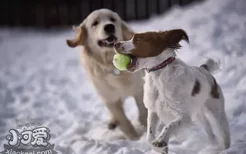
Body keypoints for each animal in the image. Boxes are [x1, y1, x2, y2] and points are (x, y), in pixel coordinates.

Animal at [66, 8, 147, 141]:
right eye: (95, 23)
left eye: (113, 19)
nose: (109, 27)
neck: (111, 64)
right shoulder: (109, 98)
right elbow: (123, 120)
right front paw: (134, 138)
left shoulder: (139, 88)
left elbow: (143, 110)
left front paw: (145, 129)